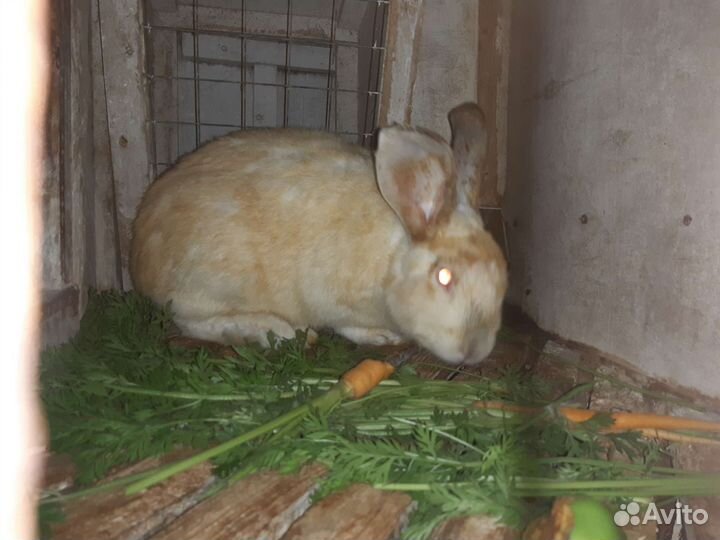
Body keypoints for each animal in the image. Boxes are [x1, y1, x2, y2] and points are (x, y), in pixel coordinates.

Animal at [130, 102, 507, 365]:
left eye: (504, 279)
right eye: (444, 277)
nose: (474, 350)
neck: (390, 260)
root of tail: (139, 253)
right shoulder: (337, 305)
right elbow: (349, 327)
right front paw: (383, 336)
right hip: (208, 289)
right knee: (191, 322)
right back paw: (282, 331)